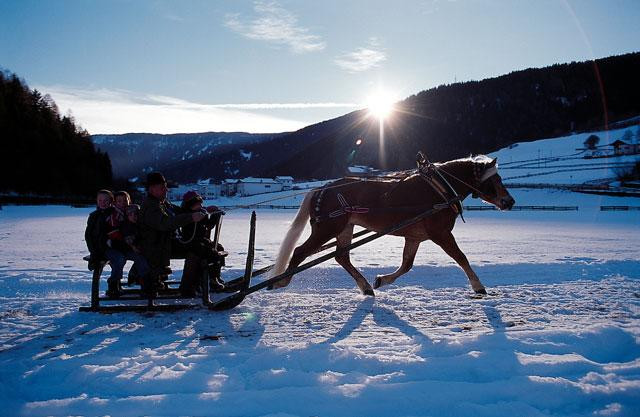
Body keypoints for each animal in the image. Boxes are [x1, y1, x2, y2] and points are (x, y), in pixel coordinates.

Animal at [268, 154, 516, 296]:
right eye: (494, 180)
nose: (509, 201)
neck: (440, 189)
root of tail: (321, 189)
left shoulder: (415, 237)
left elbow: (407, 265)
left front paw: (381, 280)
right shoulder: (440, 233)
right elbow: (461, 257)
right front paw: (478, 286)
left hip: (345, 228)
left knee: (341, 257)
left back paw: (366, 287)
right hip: (327, 228)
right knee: (300, 251)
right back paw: (281, 281)